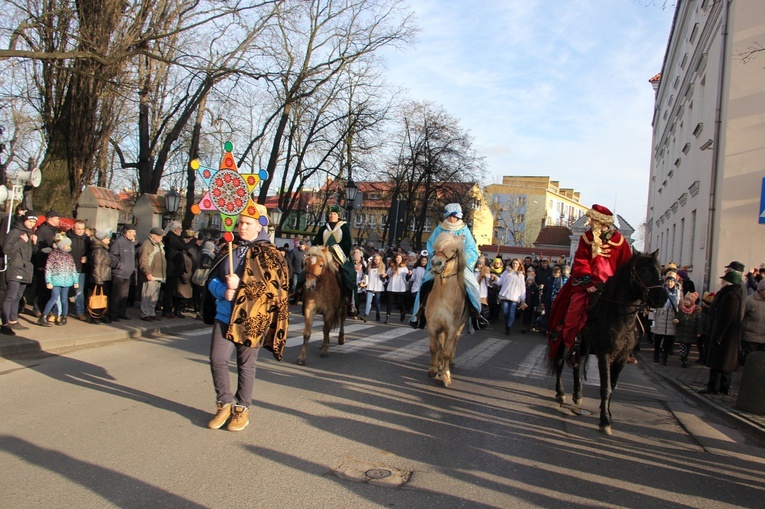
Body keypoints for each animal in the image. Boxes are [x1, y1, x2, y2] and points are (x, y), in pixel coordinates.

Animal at [424, 231, 466, 384]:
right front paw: (433, 369)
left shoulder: (452, 328)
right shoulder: (432, 325)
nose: (436, 263)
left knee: (454, 343)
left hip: (459, 327)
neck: (443, 297)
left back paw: (450, 363)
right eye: (436, 248)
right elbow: (434, 347)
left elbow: (447, 351)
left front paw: (446, 376)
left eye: (453, 250)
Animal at [548, 250, 664, 432]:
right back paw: (560, 393)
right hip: (562, 340)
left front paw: (608, 413)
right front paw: (604, 421)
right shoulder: (605, 354)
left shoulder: (621, 357)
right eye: (642, 270)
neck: (620, 316)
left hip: (582, 346)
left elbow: (613, 386)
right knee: (559, 363)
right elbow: (605, 386)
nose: (661, 297)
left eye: (659, 270)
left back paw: (578, 394)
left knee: (577, 365)